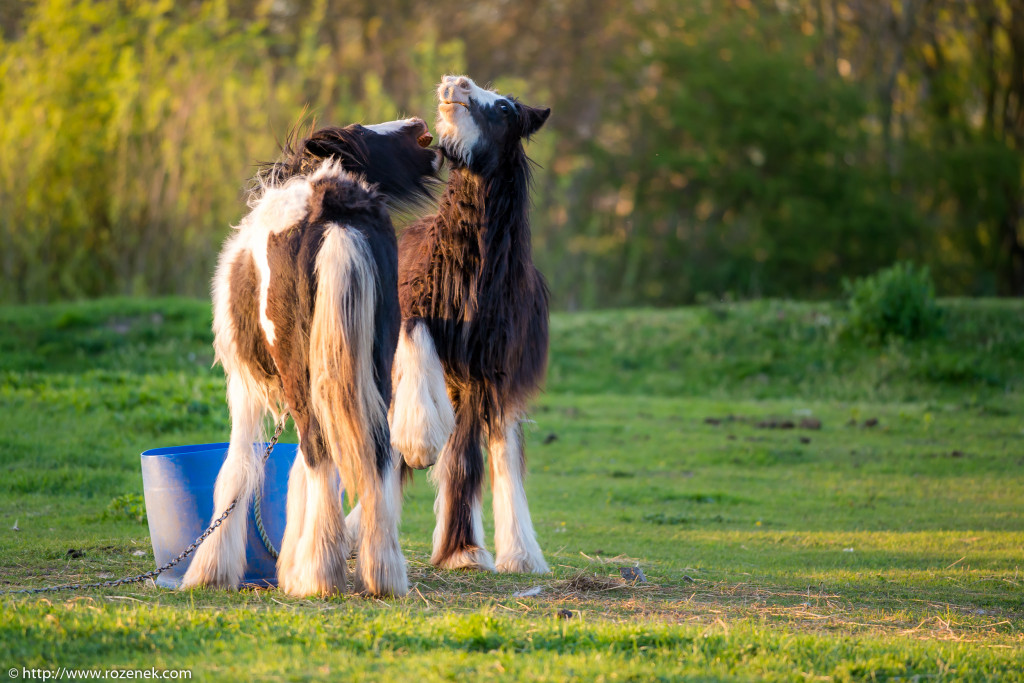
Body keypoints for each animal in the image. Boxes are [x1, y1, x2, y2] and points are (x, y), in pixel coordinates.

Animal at [182, 118, 438, 598]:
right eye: (364, 131)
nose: (418, 126)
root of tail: (334, 207)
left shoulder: (242, 387)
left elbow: (237, 470)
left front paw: (210, 570)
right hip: (373, 368)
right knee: (375, 451)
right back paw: (381, 573)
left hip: (299, 378)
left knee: (319, 450)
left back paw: (319, 575)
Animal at [376, 77, 552, 573]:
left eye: (506, 108)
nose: (456, 84)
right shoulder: (413, 314)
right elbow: (415, 334)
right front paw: (419, 439)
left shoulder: (487, 371)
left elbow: (467, 459)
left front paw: (464, 552)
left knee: (498, 452)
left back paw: (517, 553)